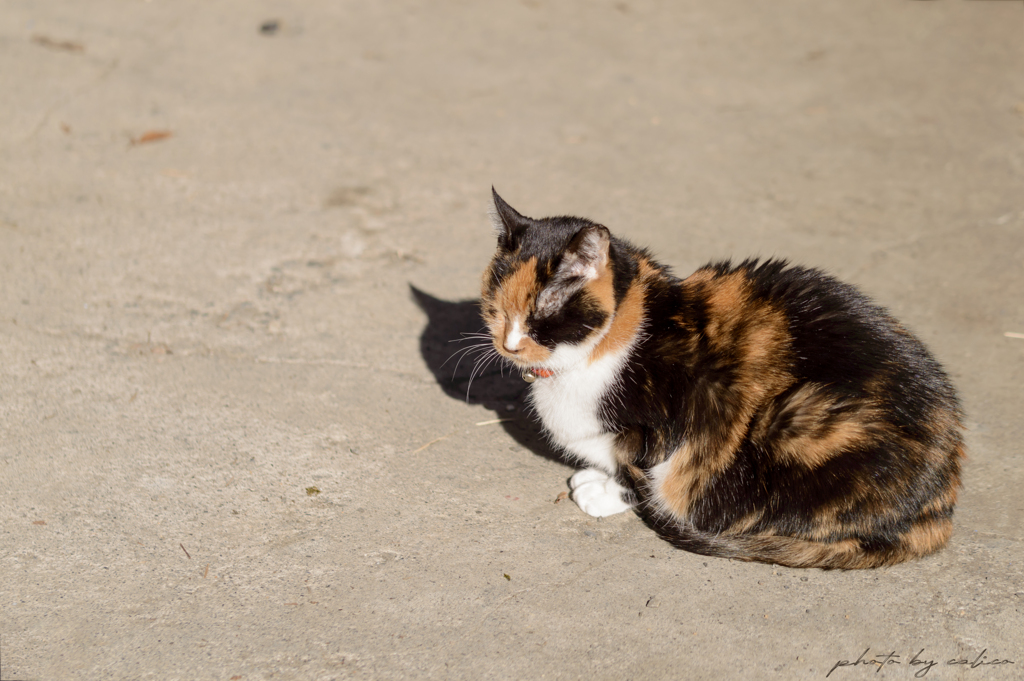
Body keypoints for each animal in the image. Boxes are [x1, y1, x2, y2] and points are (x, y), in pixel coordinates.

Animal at [475, 187, 962, 569]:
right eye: (495, 307)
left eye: (542, 314)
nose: (509, 344)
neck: (614, 339)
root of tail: (940, 507)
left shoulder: (663, 425)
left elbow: (641, 469)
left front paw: (605, 492)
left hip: (795, 421)